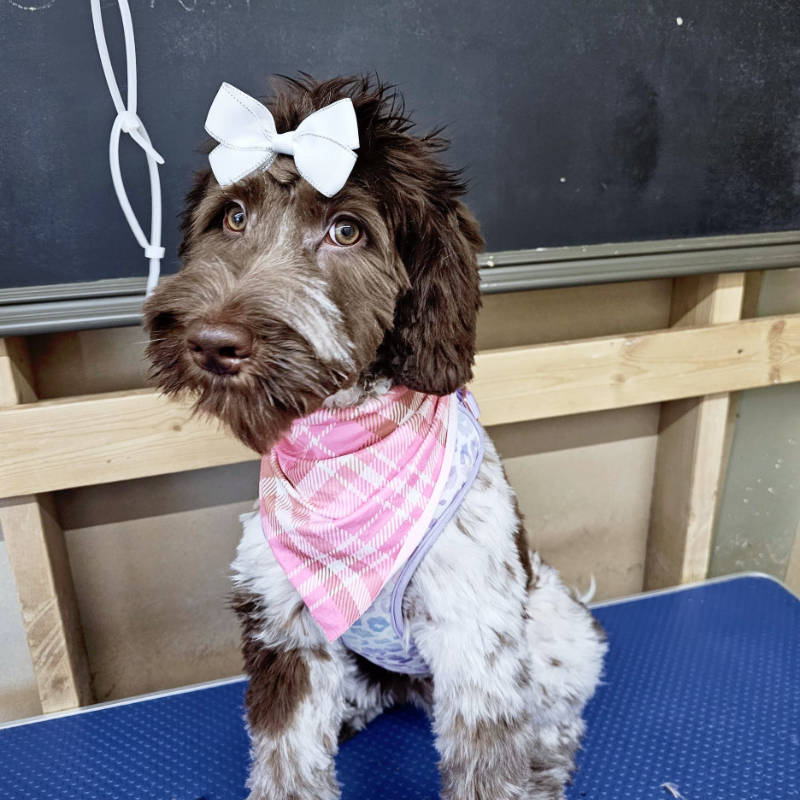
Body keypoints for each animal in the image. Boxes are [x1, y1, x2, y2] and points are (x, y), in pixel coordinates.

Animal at [145, 76, 608, 800]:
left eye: (346, 230)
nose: (212, 342)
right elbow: (287, 752)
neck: (342, 445)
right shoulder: (287, 625)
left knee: (558, 712)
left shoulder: (476, 639)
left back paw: (545, 764)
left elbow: (488, 765)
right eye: (234, 217)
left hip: (563, 634)